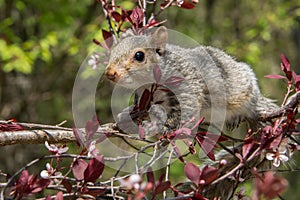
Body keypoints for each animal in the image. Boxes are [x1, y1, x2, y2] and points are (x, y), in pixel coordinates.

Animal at [105, 25, 278, 134]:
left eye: (139, 56)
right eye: (112, 52)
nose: (110, 73)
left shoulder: (187, 85)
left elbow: (185, 109)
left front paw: (166, 128)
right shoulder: (144, 97)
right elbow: (141, 108)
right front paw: (127, 114)